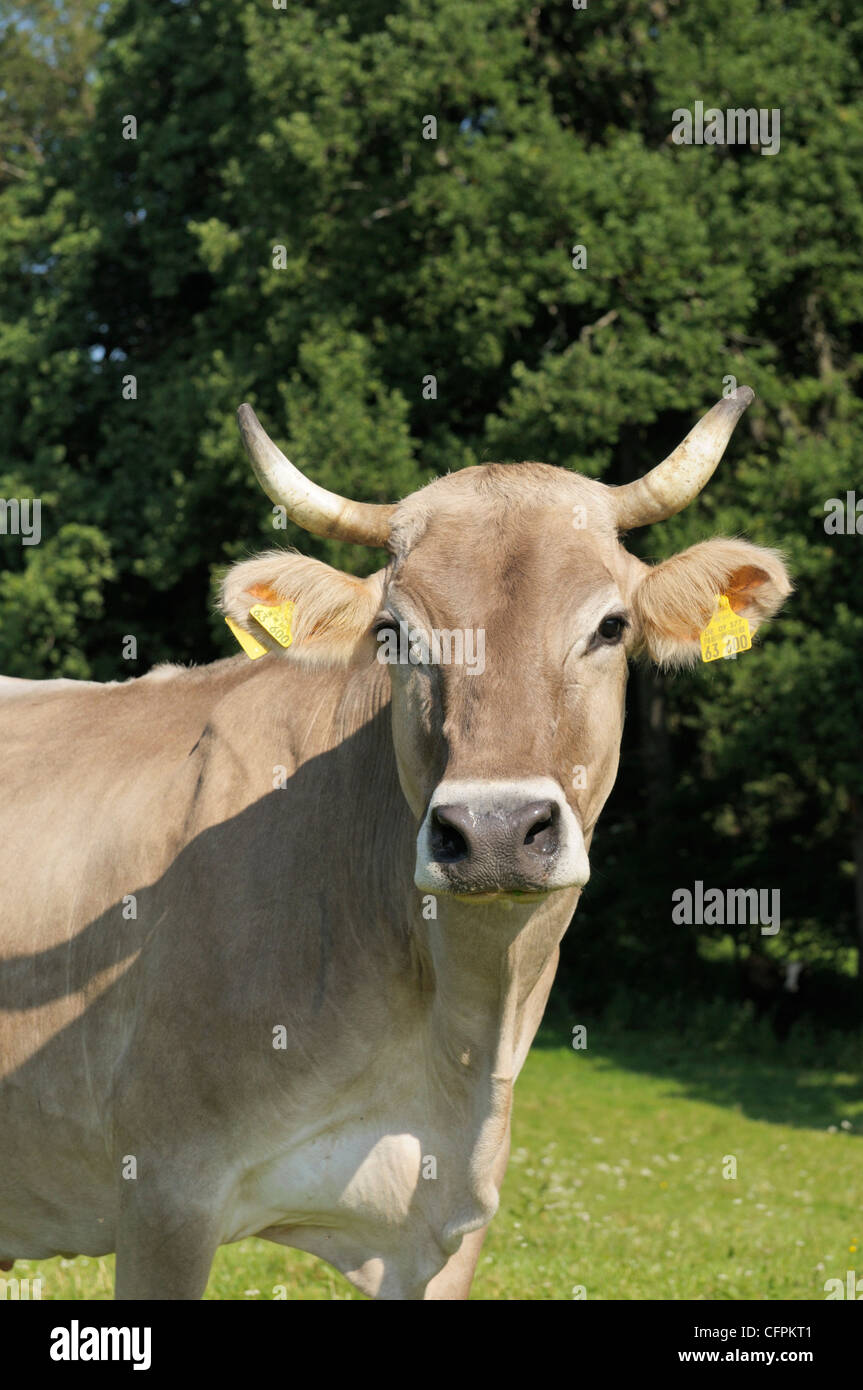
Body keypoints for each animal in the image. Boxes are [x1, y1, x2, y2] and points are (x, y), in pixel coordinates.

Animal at [0, 387, 791, 1299]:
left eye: (609, 626)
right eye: (395, 633)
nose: (492, 832)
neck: (452, 1033)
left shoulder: (450, 1225)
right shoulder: (165, 1188)